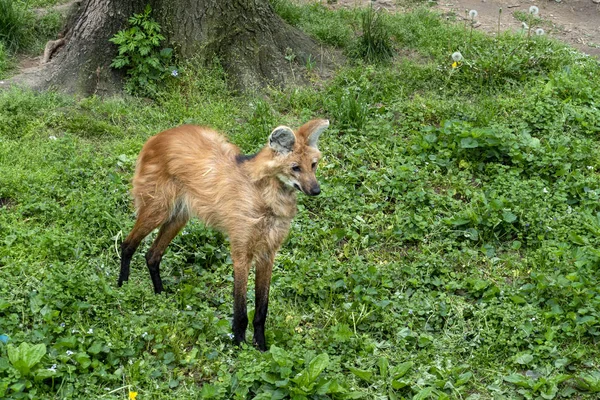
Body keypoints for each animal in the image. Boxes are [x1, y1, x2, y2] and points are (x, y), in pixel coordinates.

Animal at [116, 119, 328, 350]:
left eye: (313, 165)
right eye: (295, 168)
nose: (316, 190)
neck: (267, 197)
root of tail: (158, 136)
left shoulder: (268, 252)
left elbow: (261, 309)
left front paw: (261, 348)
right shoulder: (241, 250)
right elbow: (241, 310)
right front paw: (240, 346)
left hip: (179, 216)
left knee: (152, 255)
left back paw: (161, 296)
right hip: (158, 209)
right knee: (127, 245)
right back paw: (123, 288)